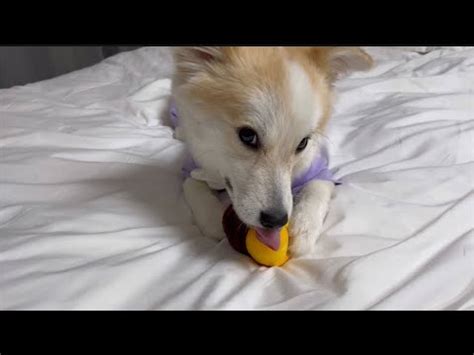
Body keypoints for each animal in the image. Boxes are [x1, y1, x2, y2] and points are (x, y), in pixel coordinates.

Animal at [170, 48, 374, 258]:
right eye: (248, 136)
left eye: (303, 143)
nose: (276, 221)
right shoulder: (191, 165)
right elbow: (193, 185)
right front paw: (213, 219)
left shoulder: (319, 169)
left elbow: (318, 188)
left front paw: (304, 229)